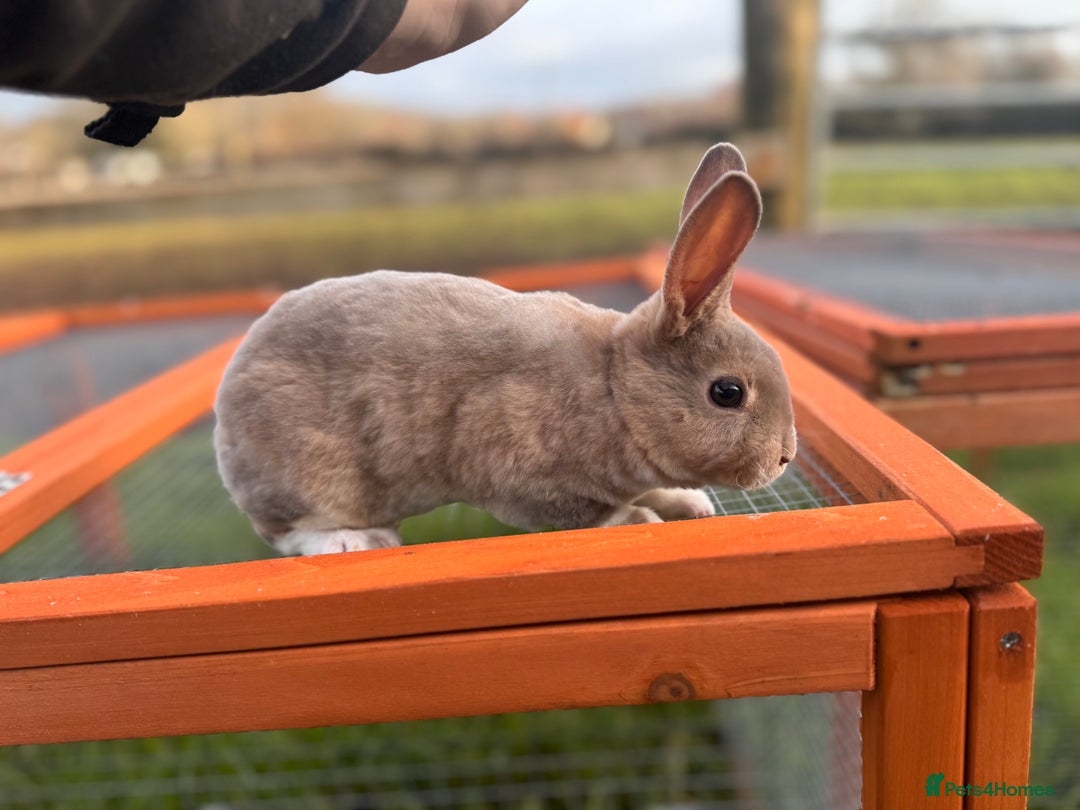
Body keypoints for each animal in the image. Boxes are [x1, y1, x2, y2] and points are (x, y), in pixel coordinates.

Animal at [214, 142, 797, 556]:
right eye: (727, 392)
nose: (784, 457)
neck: (615, 390)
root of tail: (228, 404)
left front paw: (690, 503)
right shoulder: (526, 476)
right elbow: (592, 515)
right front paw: (640, 520)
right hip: (309, 478)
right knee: (289, 533)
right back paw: (355, 540)